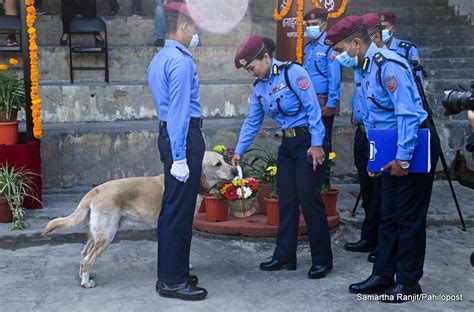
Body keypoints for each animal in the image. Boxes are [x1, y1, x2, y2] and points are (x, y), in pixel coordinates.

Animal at [42, 151, 237, 288]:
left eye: (225, 159)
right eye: (218, 164)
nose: (235, 170)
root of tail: (93, 191)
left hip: (95, 234)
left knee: (83, 255)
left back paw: (84, 275)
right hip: (107, 235)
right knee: (89, 258)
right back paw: (86, 282)